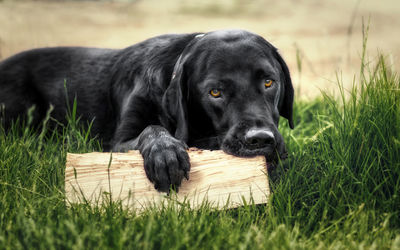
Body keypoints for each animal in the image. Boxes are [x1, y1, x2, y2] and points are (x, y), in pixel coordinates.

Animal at [0, 30, 294, 192]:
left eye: (268, 82)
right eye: (215, 92)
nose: (260, 139)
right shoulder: (117, 143)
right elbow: (152, 129)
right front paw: (165, 154)